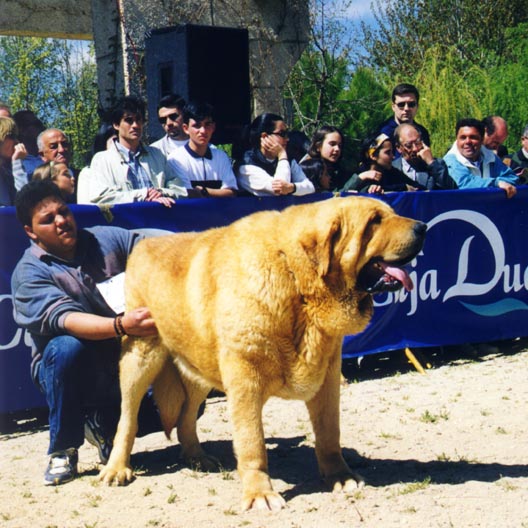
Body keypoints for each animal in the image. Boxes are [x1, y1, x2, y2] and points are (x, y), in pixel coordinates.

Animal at [99, 196, 426, 510]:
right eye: (374, 221)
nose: (423, 227)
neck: (295, 278)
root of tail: (141, 244)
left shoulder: (328, 377)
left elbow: (329, 433)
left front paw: (339, 476)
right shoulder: (245, 381)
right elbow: (252, 443)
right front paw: (259, 494)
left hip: (199, 369)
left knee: (186, 417)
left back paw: (197, 456)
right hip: (141, 359)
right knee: (128, 419)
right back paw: (117, 469)